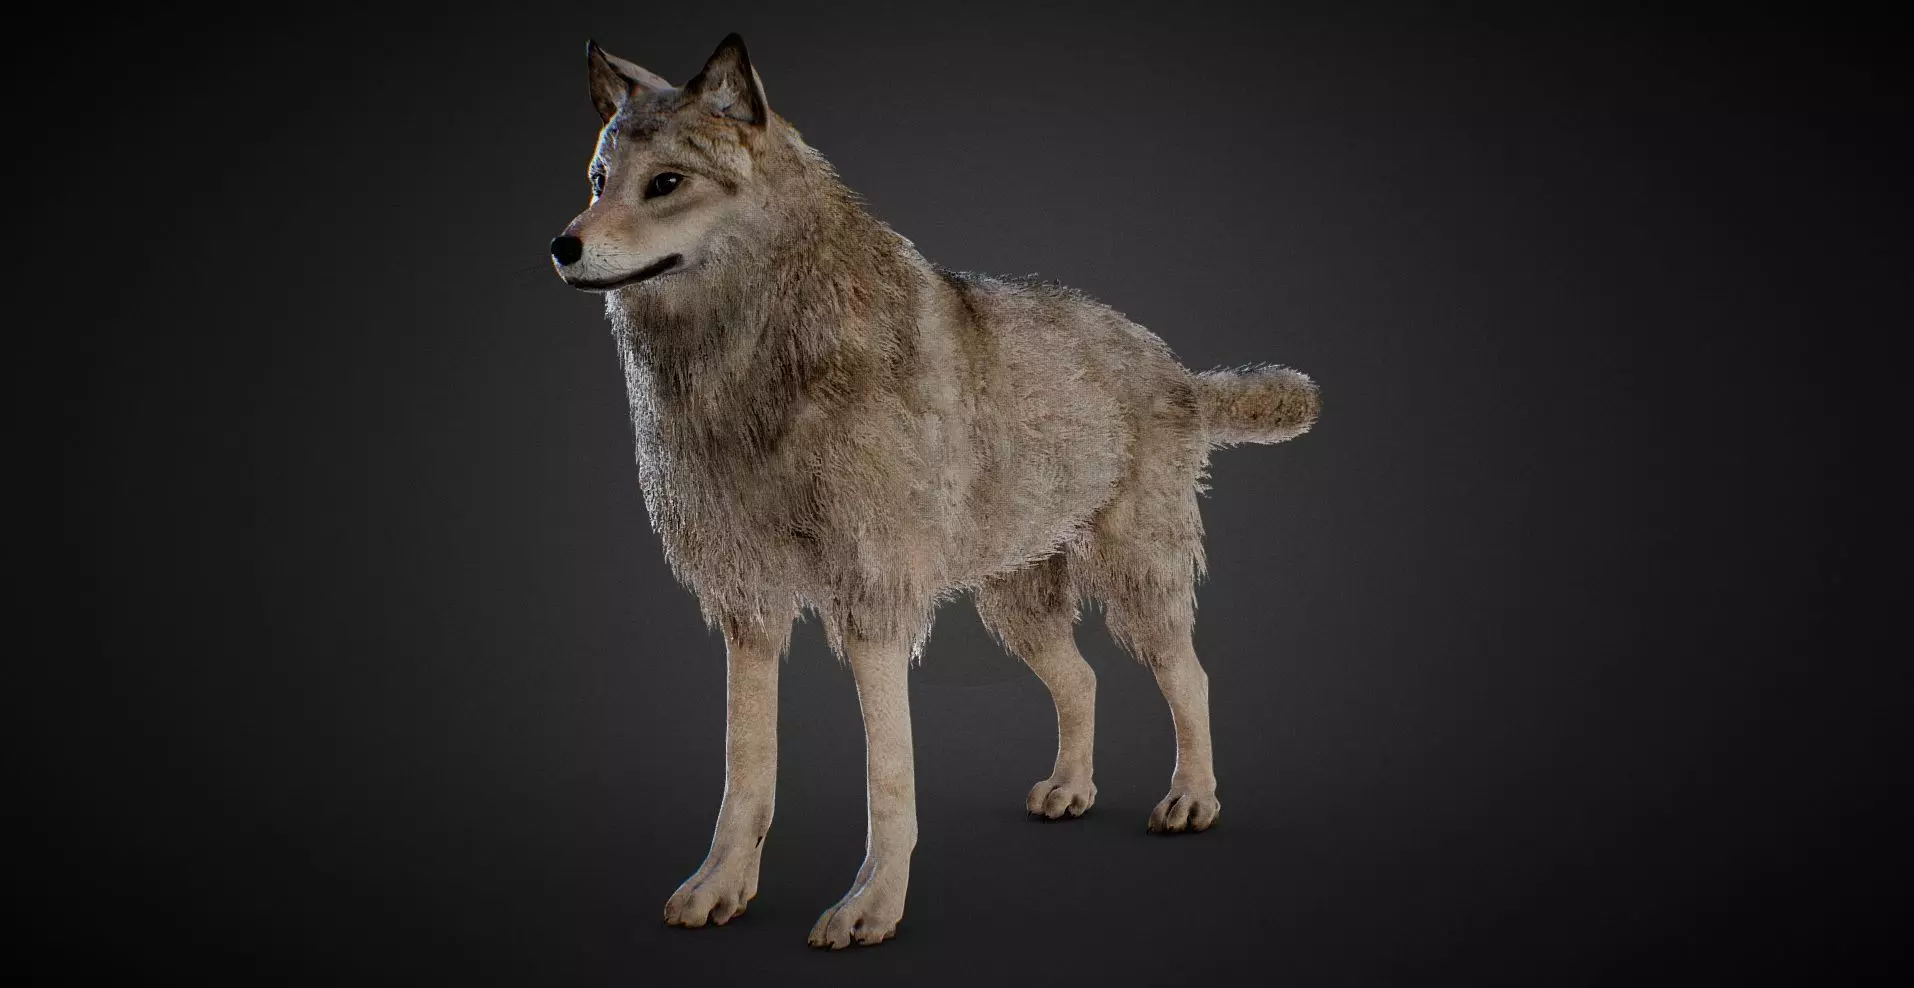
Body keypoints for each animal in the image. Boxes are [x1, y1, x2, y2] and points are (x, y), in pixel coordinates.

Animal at [551, 33, 1320, 948]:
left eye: (666, 182)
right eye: (599, 180)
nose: (561, 246)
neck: (745, 367)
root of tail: (1174, 366)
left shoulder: (873, 605)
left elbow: (888, 779)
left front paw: (872, 907)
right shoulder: (749, 607)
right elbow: (746, 771)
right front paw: (722, 887)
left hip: (1136, 582)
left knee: (1190, 678)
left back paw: (1191, 800)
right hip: (1015, 605)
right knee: (1083, 681)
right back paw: (1071, 791)